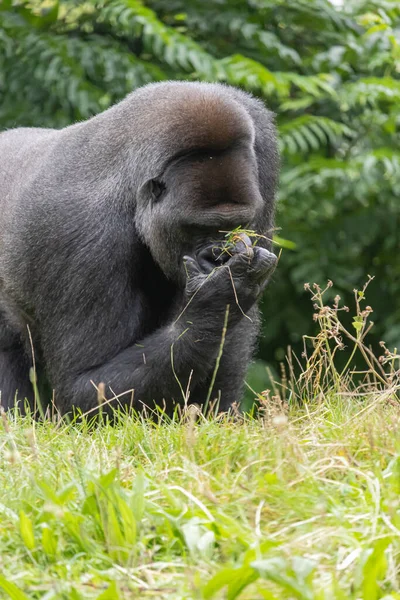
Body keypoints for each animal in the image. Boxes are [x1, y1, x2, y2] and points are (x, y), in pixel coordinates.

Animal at [0, 82, 278, 414]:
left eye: (236, 226)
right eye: (198, 228)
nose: (217, 256)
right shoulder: (79, 234)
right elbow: (82, 388)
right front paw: (219, 299)